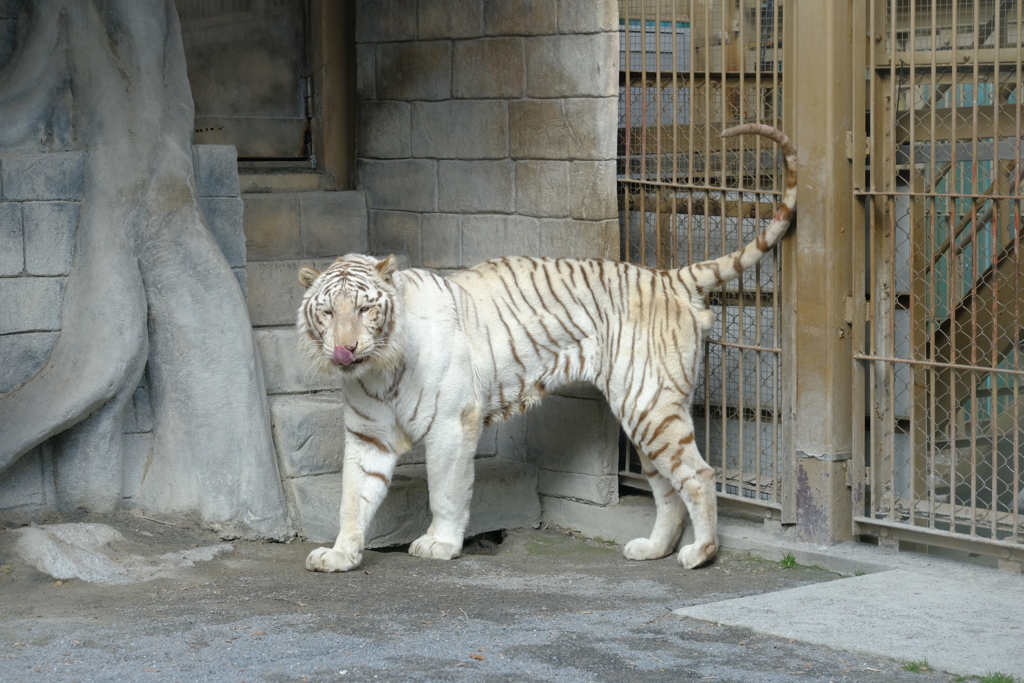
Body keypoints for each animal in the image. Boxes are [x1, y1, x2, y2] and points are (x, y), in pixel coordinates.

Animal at [299, 122, 794, 573]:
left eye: (365, 309)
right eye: (327, 312)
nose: (345, 349)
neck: (378, 371)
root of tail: (668, 275)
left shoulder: (452, 423)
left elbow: (445, 489)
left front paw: (439, 543)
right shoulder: (367, 435)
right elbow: (353, 497)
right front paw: (340, 554)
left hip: (650, 404)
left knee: (698, 475)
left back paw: (701, 554)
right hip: (644, 411)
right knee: (667, 486)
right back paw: (653, 548)